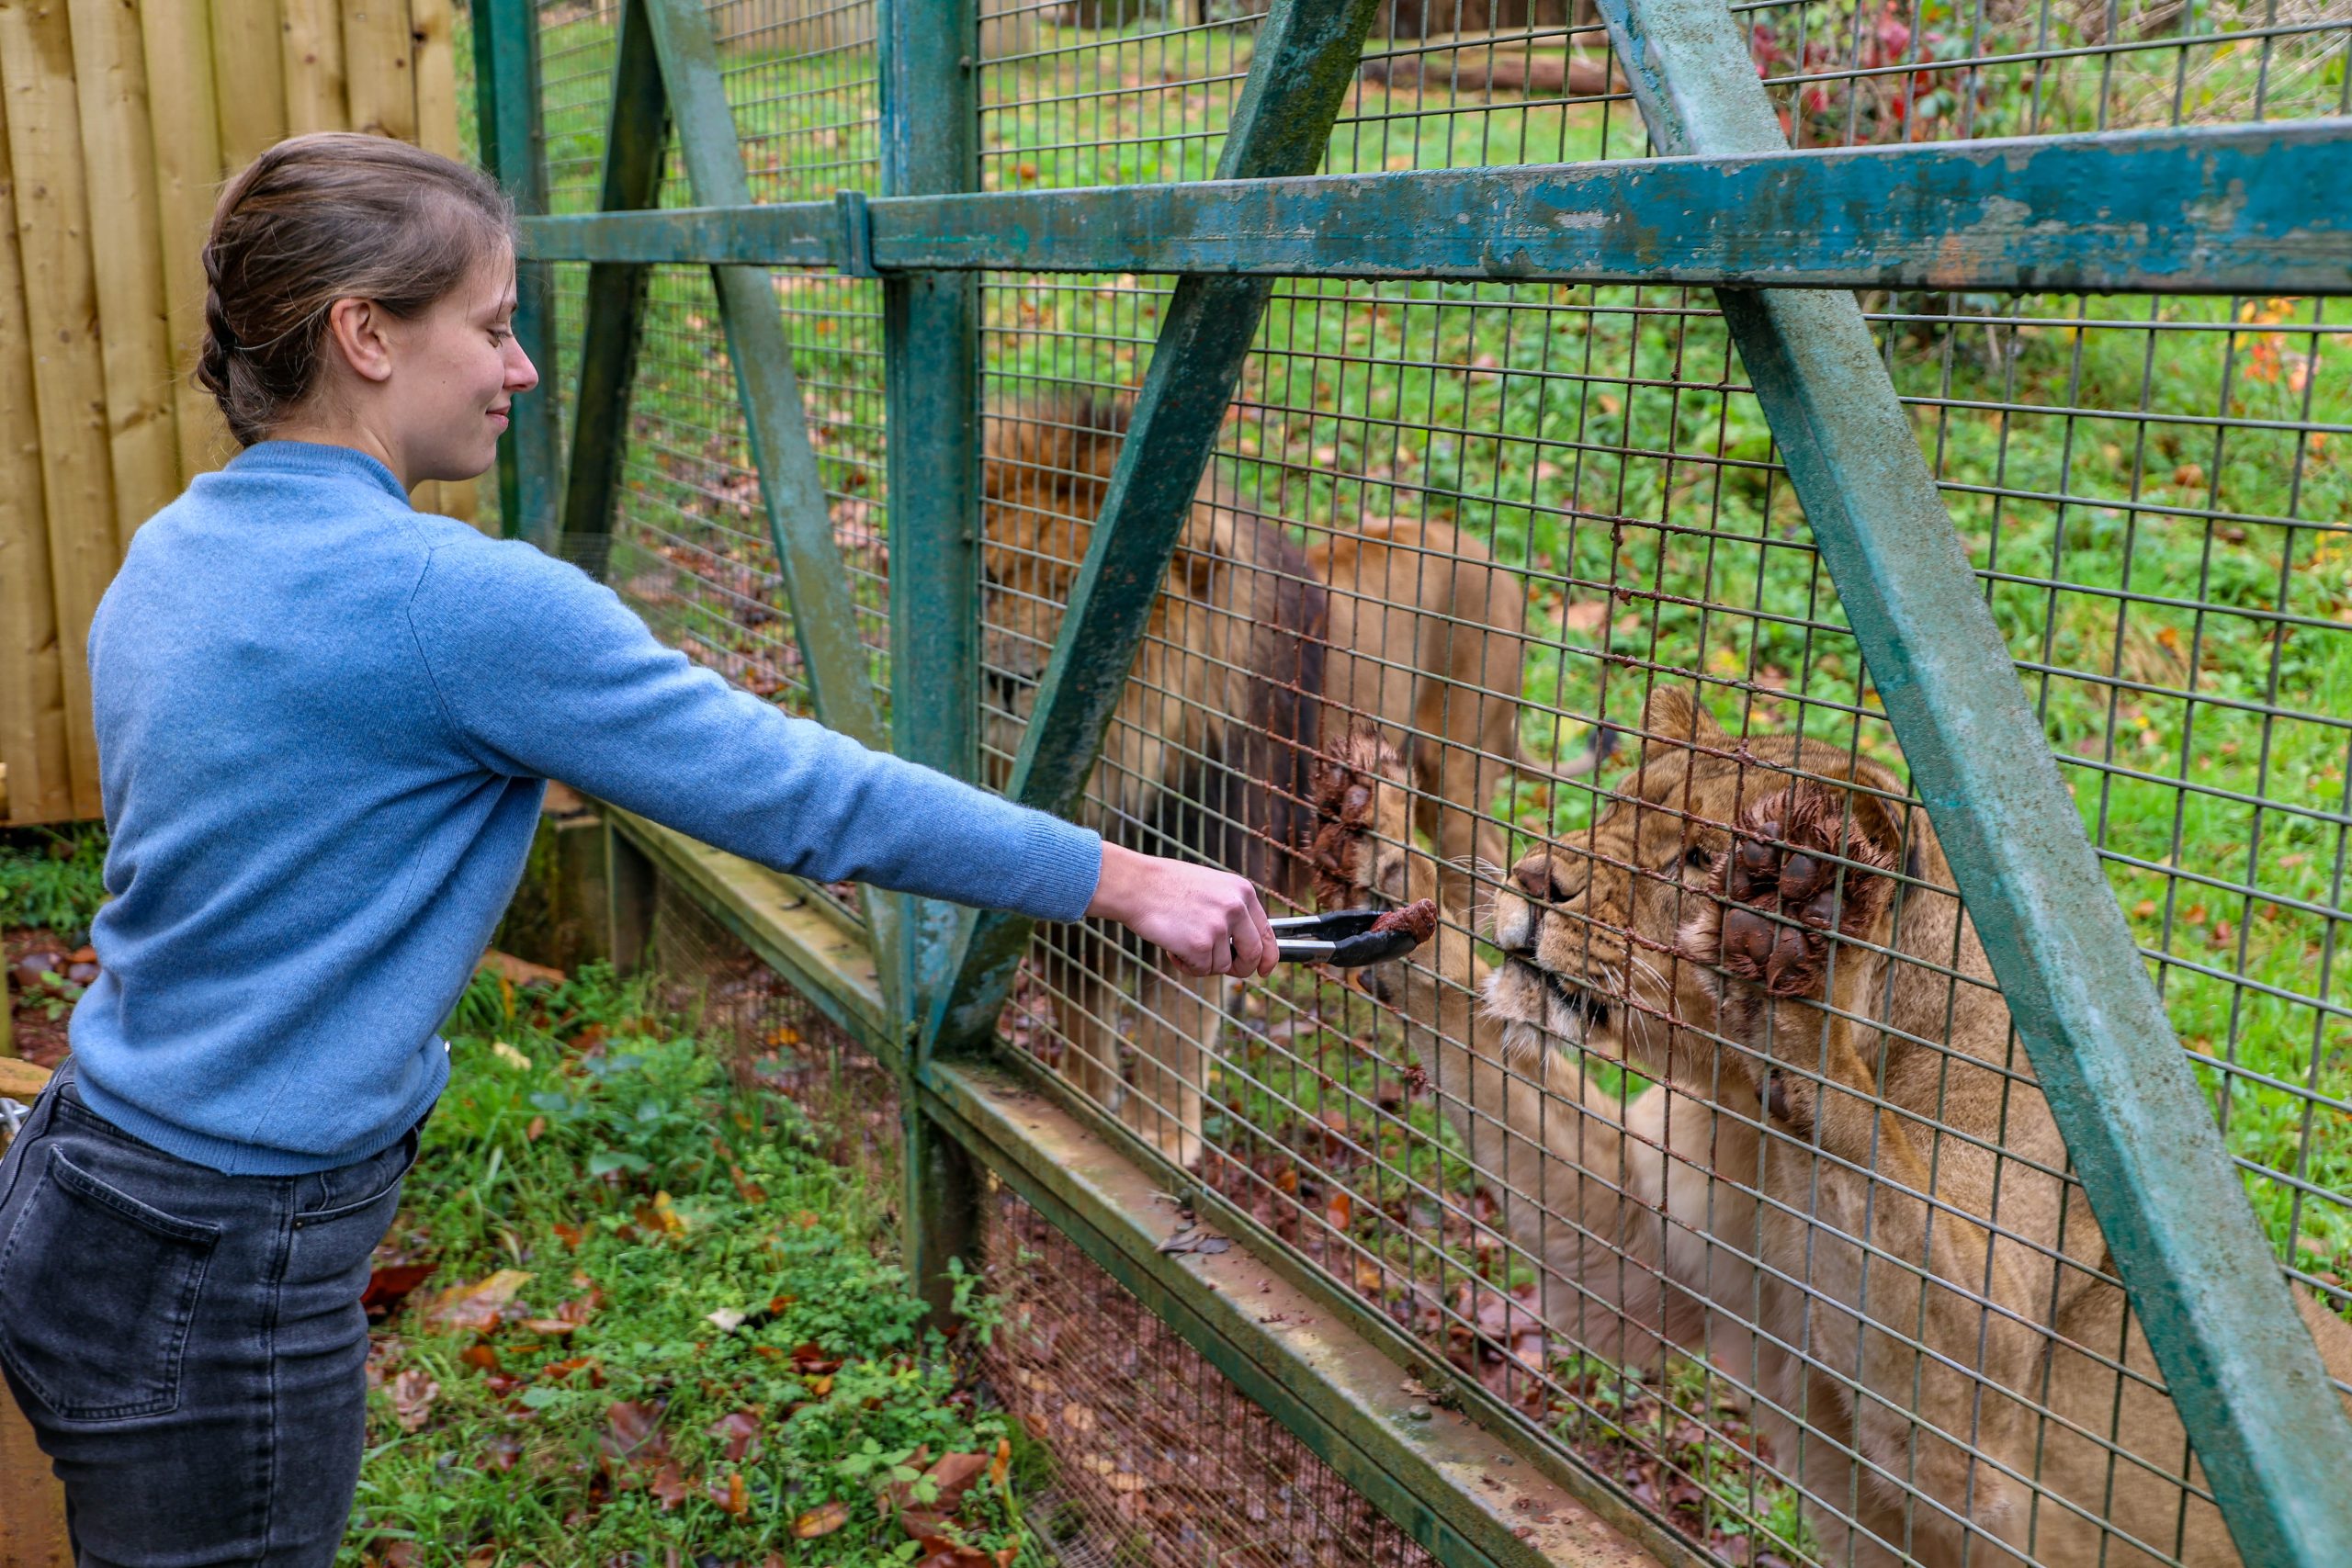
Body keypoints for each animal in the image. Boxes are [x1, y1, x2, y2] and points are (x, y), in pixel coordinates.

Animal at [982, 393, 1591, 1167]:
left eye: (1073, 594)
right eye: (994, 579)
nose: (1002, 678)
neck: (1123, 757)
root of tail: (1482, 551)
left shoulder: (1207, 886)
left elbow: (1169, 1042)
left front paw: (1158, 1138)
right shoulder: (1082, 916)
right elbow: (1084, 1033)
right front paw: (1088, 1112)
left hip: (1461, 780)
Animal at [1475, 684, 2352, 1567]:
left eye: (1695, 857)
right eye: (1613, 808)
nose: (1531, 878)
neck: (1749, 1123)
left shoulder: (1982, 1409)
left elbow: (1871, 1158)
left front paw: (1791, 967)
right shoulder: (1643, 1259)